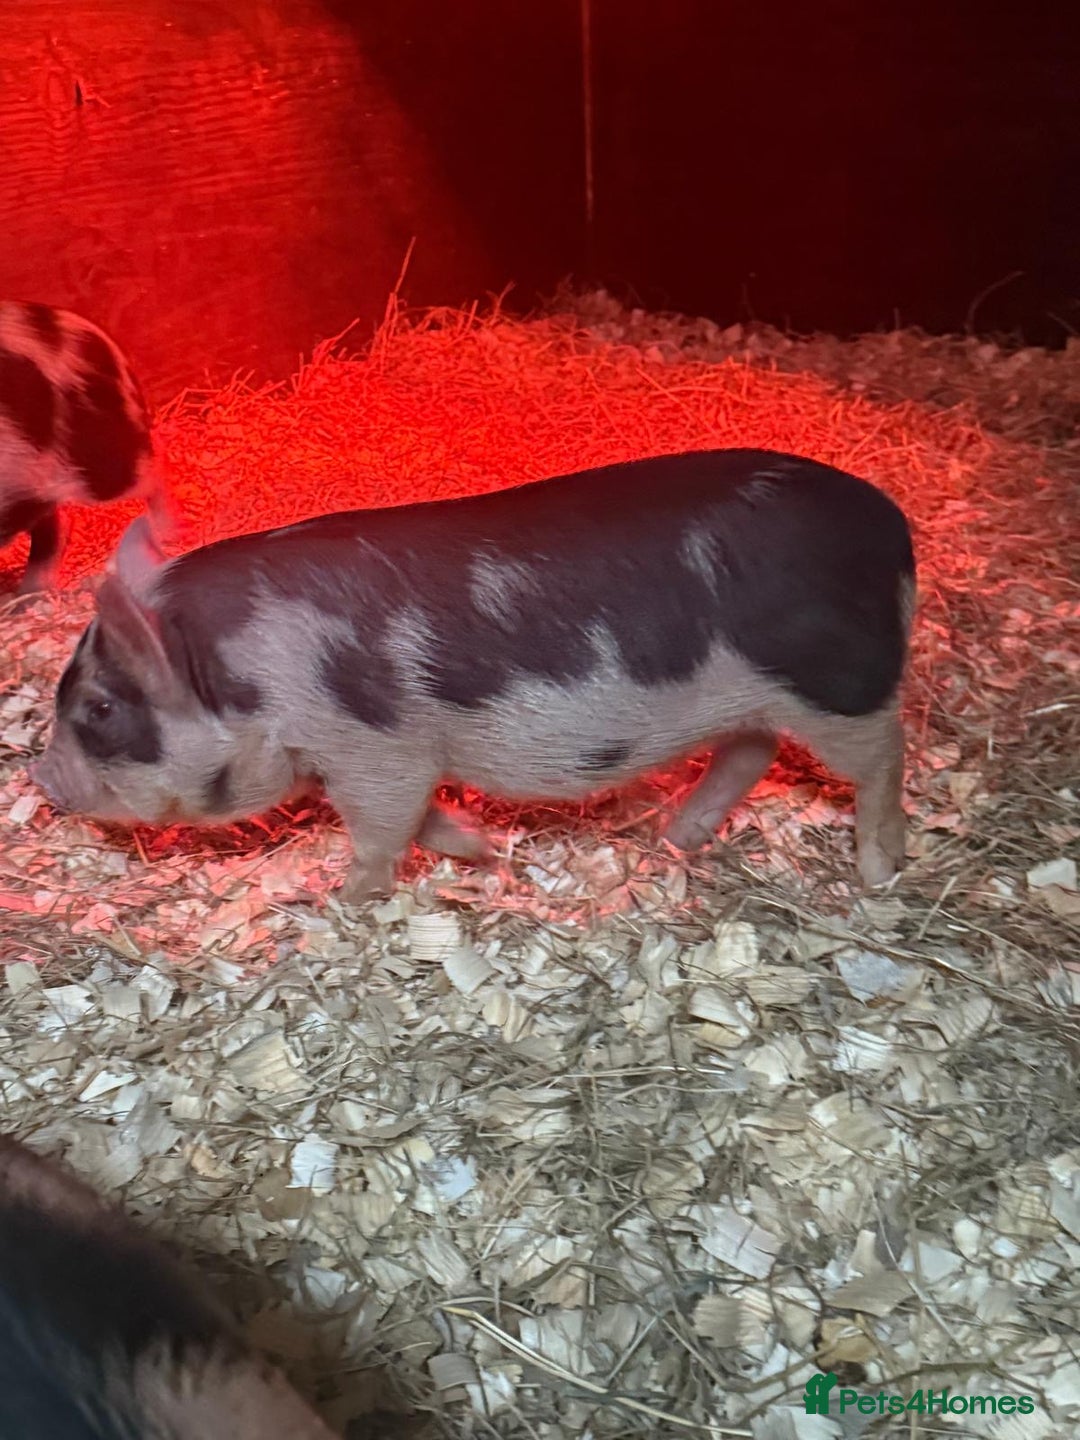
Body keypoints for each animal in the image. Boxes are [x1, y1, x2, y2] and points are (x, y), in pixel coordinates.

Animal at [33, 448, 916, 901]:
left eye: (102, 707)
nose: (41, 778)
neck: (242, 671)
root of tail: (890, 525)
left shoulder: (376, 749)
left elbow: (385, 832)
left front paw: (339, 900)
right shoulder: (364, 760)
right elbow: (418, 822)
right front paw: (487, 852)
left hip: (838, 686)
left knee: (884, 755)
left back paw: (877, 875)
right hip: (757, 702)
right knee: (751, 750)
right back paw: (675, 836)